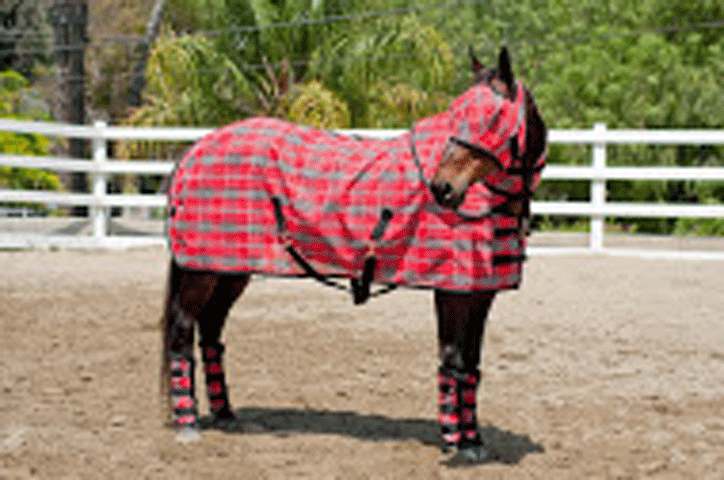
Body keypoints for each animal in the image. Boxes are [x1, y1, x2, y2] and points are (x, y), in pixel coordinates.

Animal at [160, 46, 547, 462]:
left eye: (492, 116)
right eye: (456, 111)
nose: (443, 188)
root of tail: (196, 149)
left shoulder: (481, 295)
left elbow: (471, 366)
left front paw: (473, 442)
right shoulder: (451, 292)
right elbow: (453, 360)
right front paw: (453, 441)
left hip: (230, 269)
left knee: (211, 331)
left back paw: (225, 415)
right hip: (201, 272)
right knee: (181, 333)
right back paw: (188, 424)